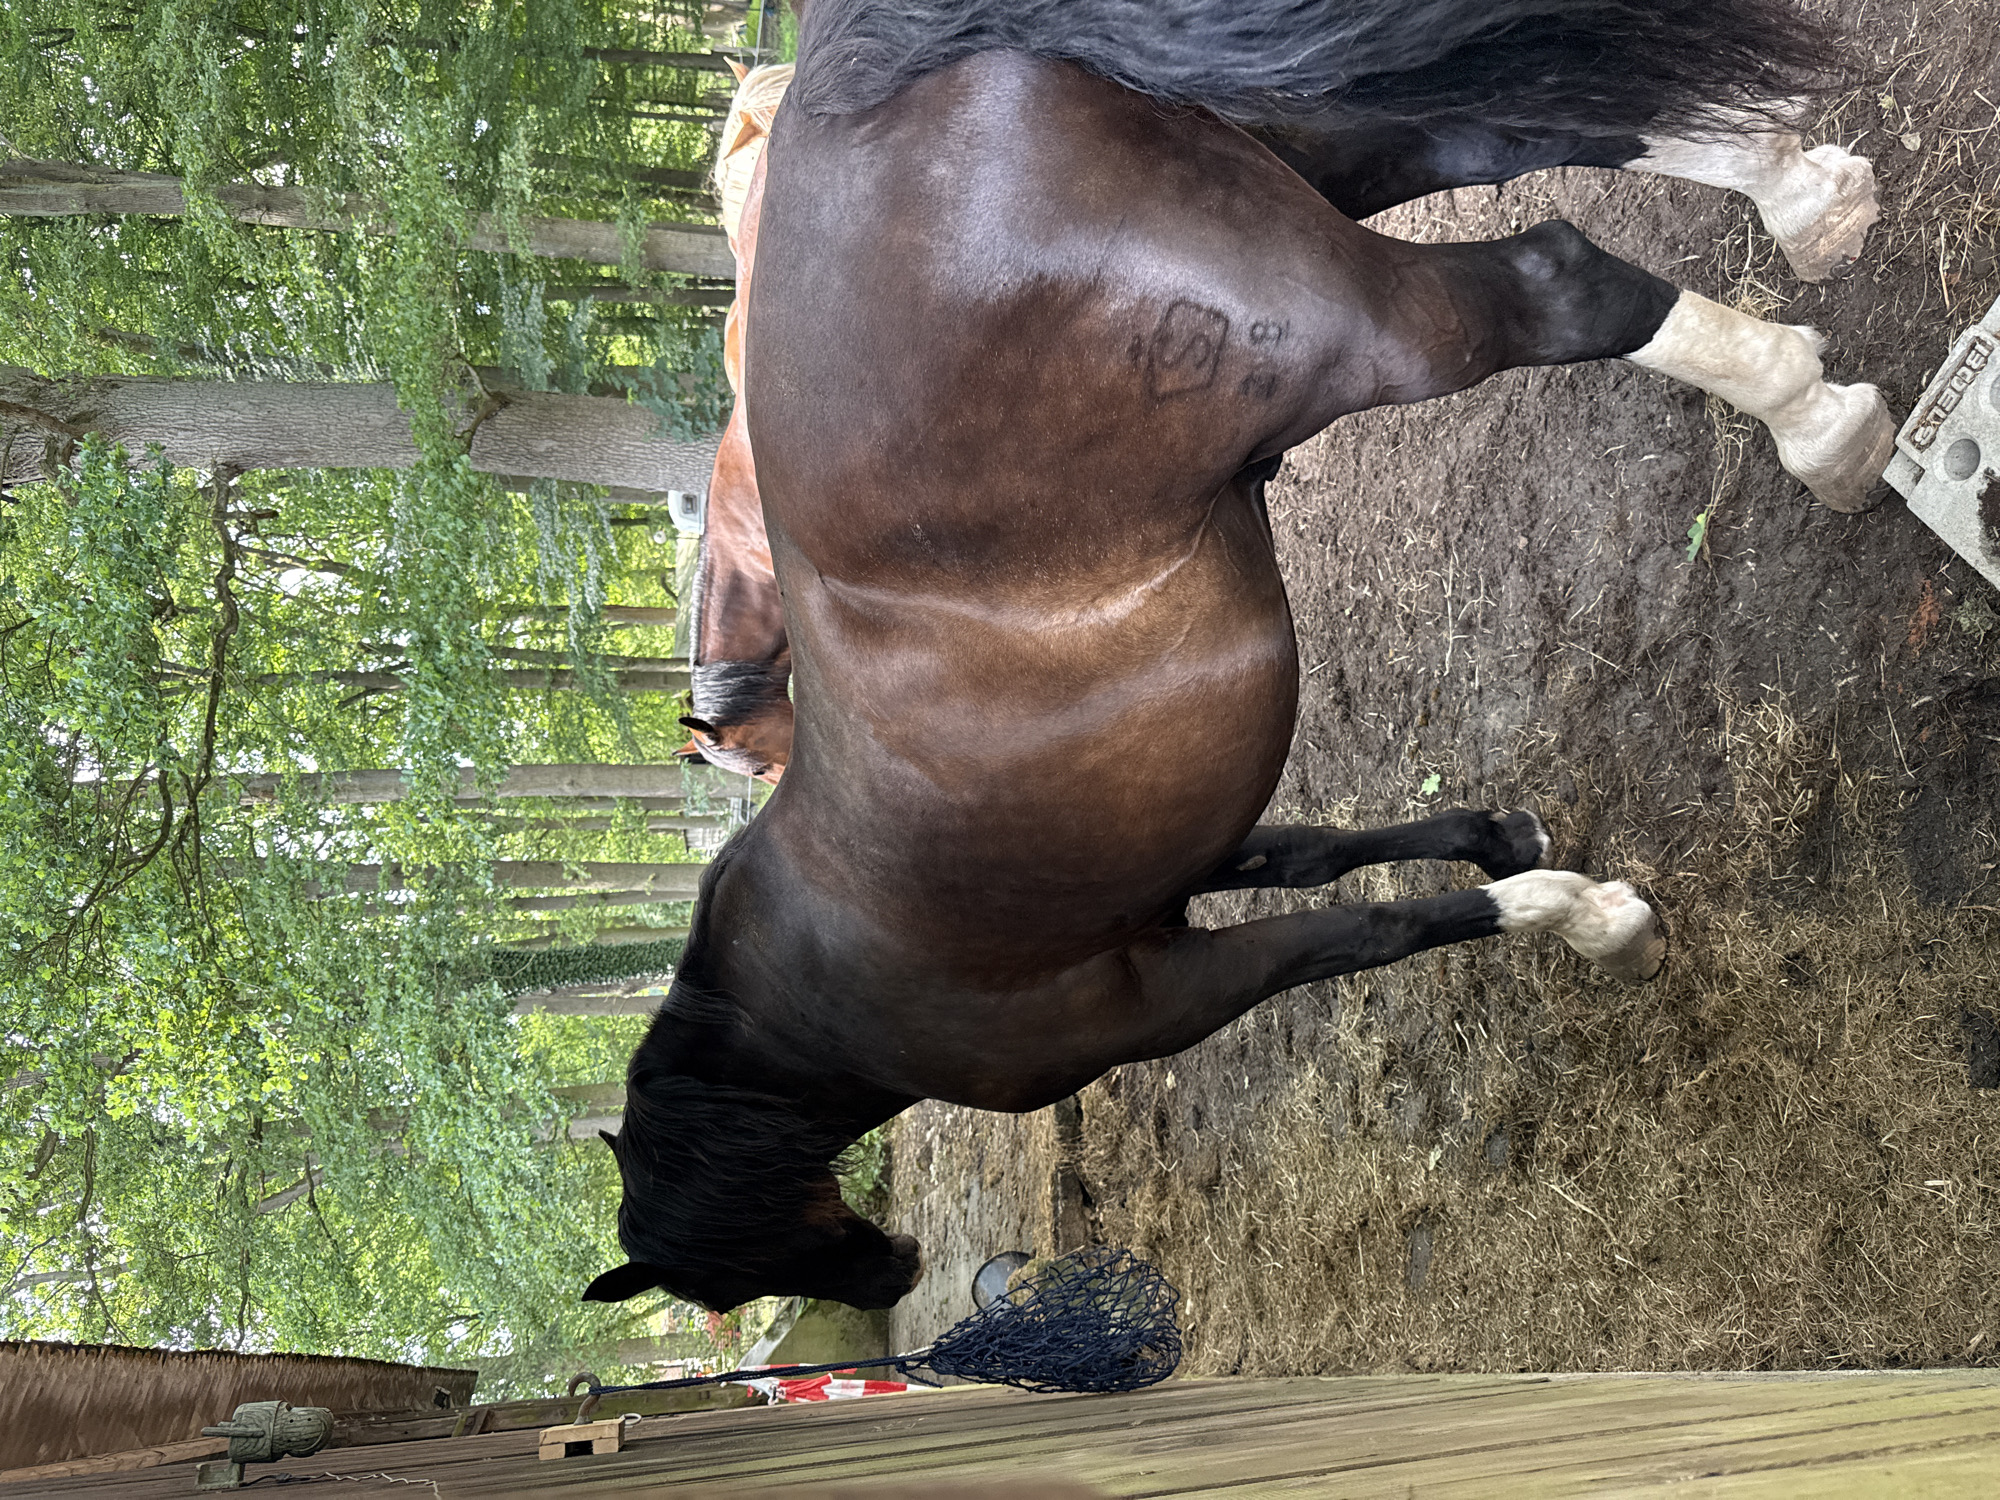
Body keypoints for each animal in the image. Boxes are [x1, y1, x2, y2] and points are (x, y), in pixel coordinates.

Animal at [586, 0, 1893, 1315]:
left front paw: (1585, 921)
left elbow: (1368, 934)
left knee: (1553, 279)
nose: (891, 1276)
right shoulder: (1193, 862)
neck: (807, 994)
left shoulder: (1170, 1000)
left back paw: (1818, 423)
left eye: (720, 1280)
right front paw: (1502, 839)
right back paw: (1809, 204)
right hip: (1333, 146)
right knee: (1524, 128)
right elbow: (1316, 854)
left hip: (1357, 331)